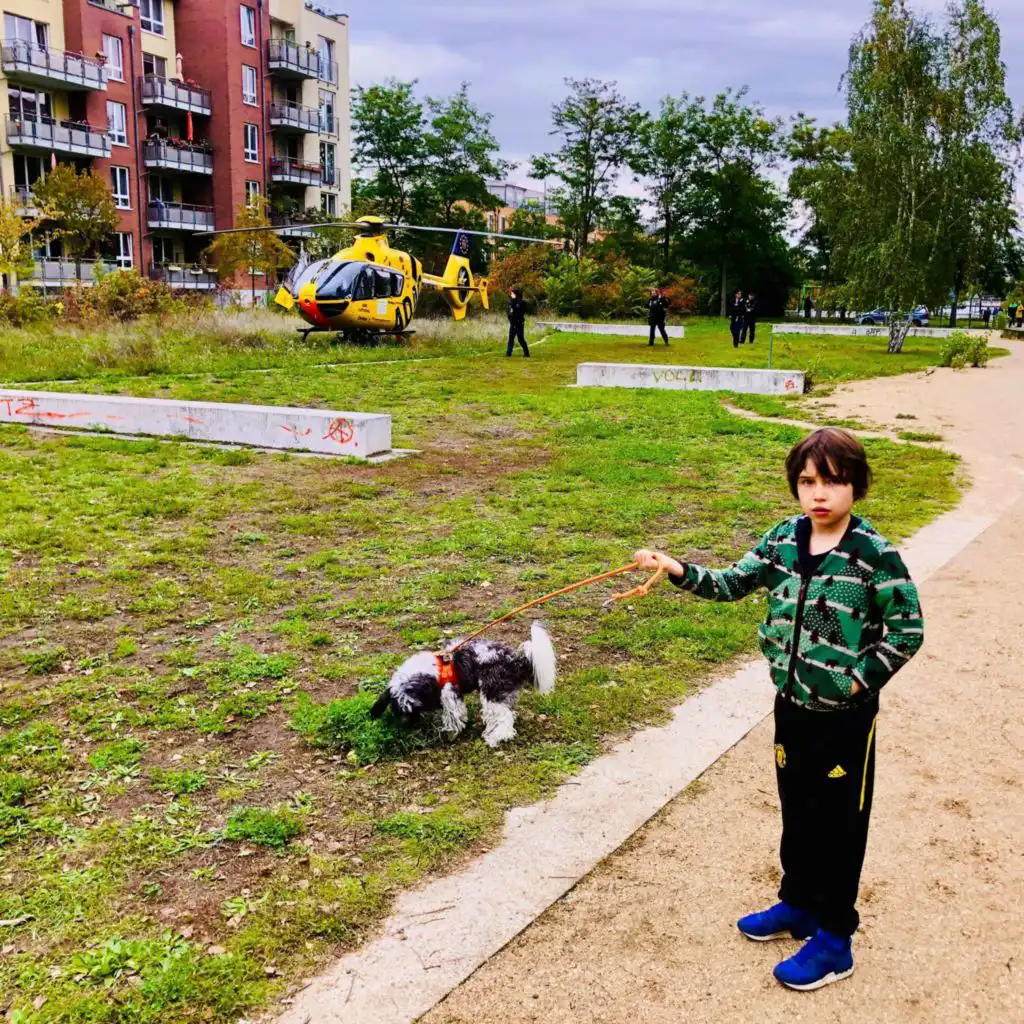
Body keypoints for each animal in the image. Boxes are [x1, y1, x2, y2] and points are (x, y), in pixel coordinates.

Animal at [370, 618, 557, 749]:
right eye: (398, 711)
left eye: (413, 709)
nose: (406, 726)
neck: (432, 672)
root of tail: (514, 661)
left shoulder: (450, 695)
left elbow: (454, 717)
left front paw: (450, 734)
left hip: (492, 692)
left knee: (504, 718)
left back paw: (495, 738)